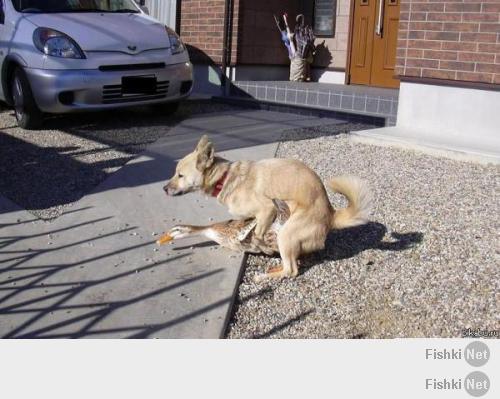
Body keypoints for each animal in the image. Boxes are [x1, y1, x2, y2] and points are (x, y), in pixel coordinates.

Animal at [164, 136, 372, 280]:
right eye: (175, 173)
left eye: (180, 175)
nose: (164, 188)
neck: (225, 178)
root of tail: (330, 213)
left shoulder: (267, 209)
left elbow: (257, 234)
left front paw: (259, 245)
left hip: (286, 234)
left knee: (291, 270)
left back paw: (264, 275)